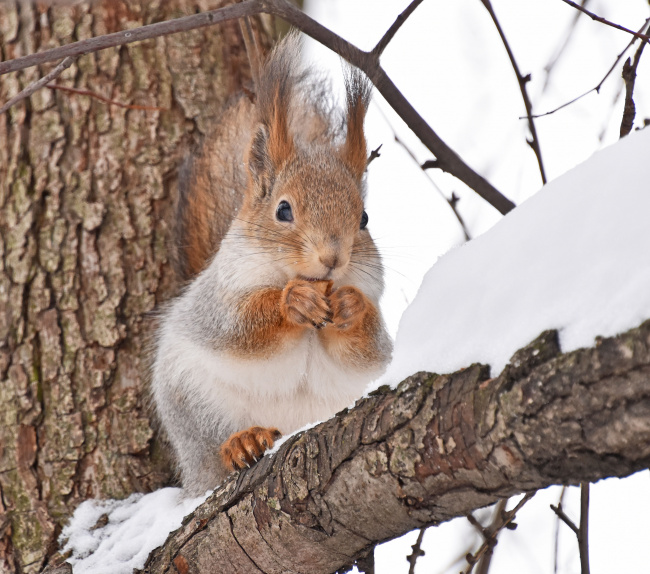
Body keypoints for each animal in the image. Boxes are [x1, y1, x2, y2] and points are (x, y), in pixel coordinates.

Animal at [151, 31, 390, 498]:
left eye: (365, 219)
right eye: (283, 210)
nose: (333, 258)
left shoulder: (375, 325)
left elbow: (368, 347)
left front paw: (351, 305)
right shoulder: (219, 299)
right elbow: (241, 326)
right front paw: (292, 301)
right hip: (193, 401)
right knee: (214, 447)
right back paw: (241, 443)